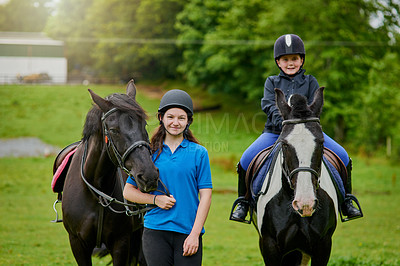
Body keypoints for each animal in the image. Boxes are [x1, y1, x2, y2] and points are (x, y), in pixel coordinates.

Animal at [60, 81, 159, 266]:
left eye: (144, 125)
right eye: (113, 130)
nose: (149, 176)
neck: (98, 193)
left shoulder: (121, 242)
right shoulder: (77, 242)